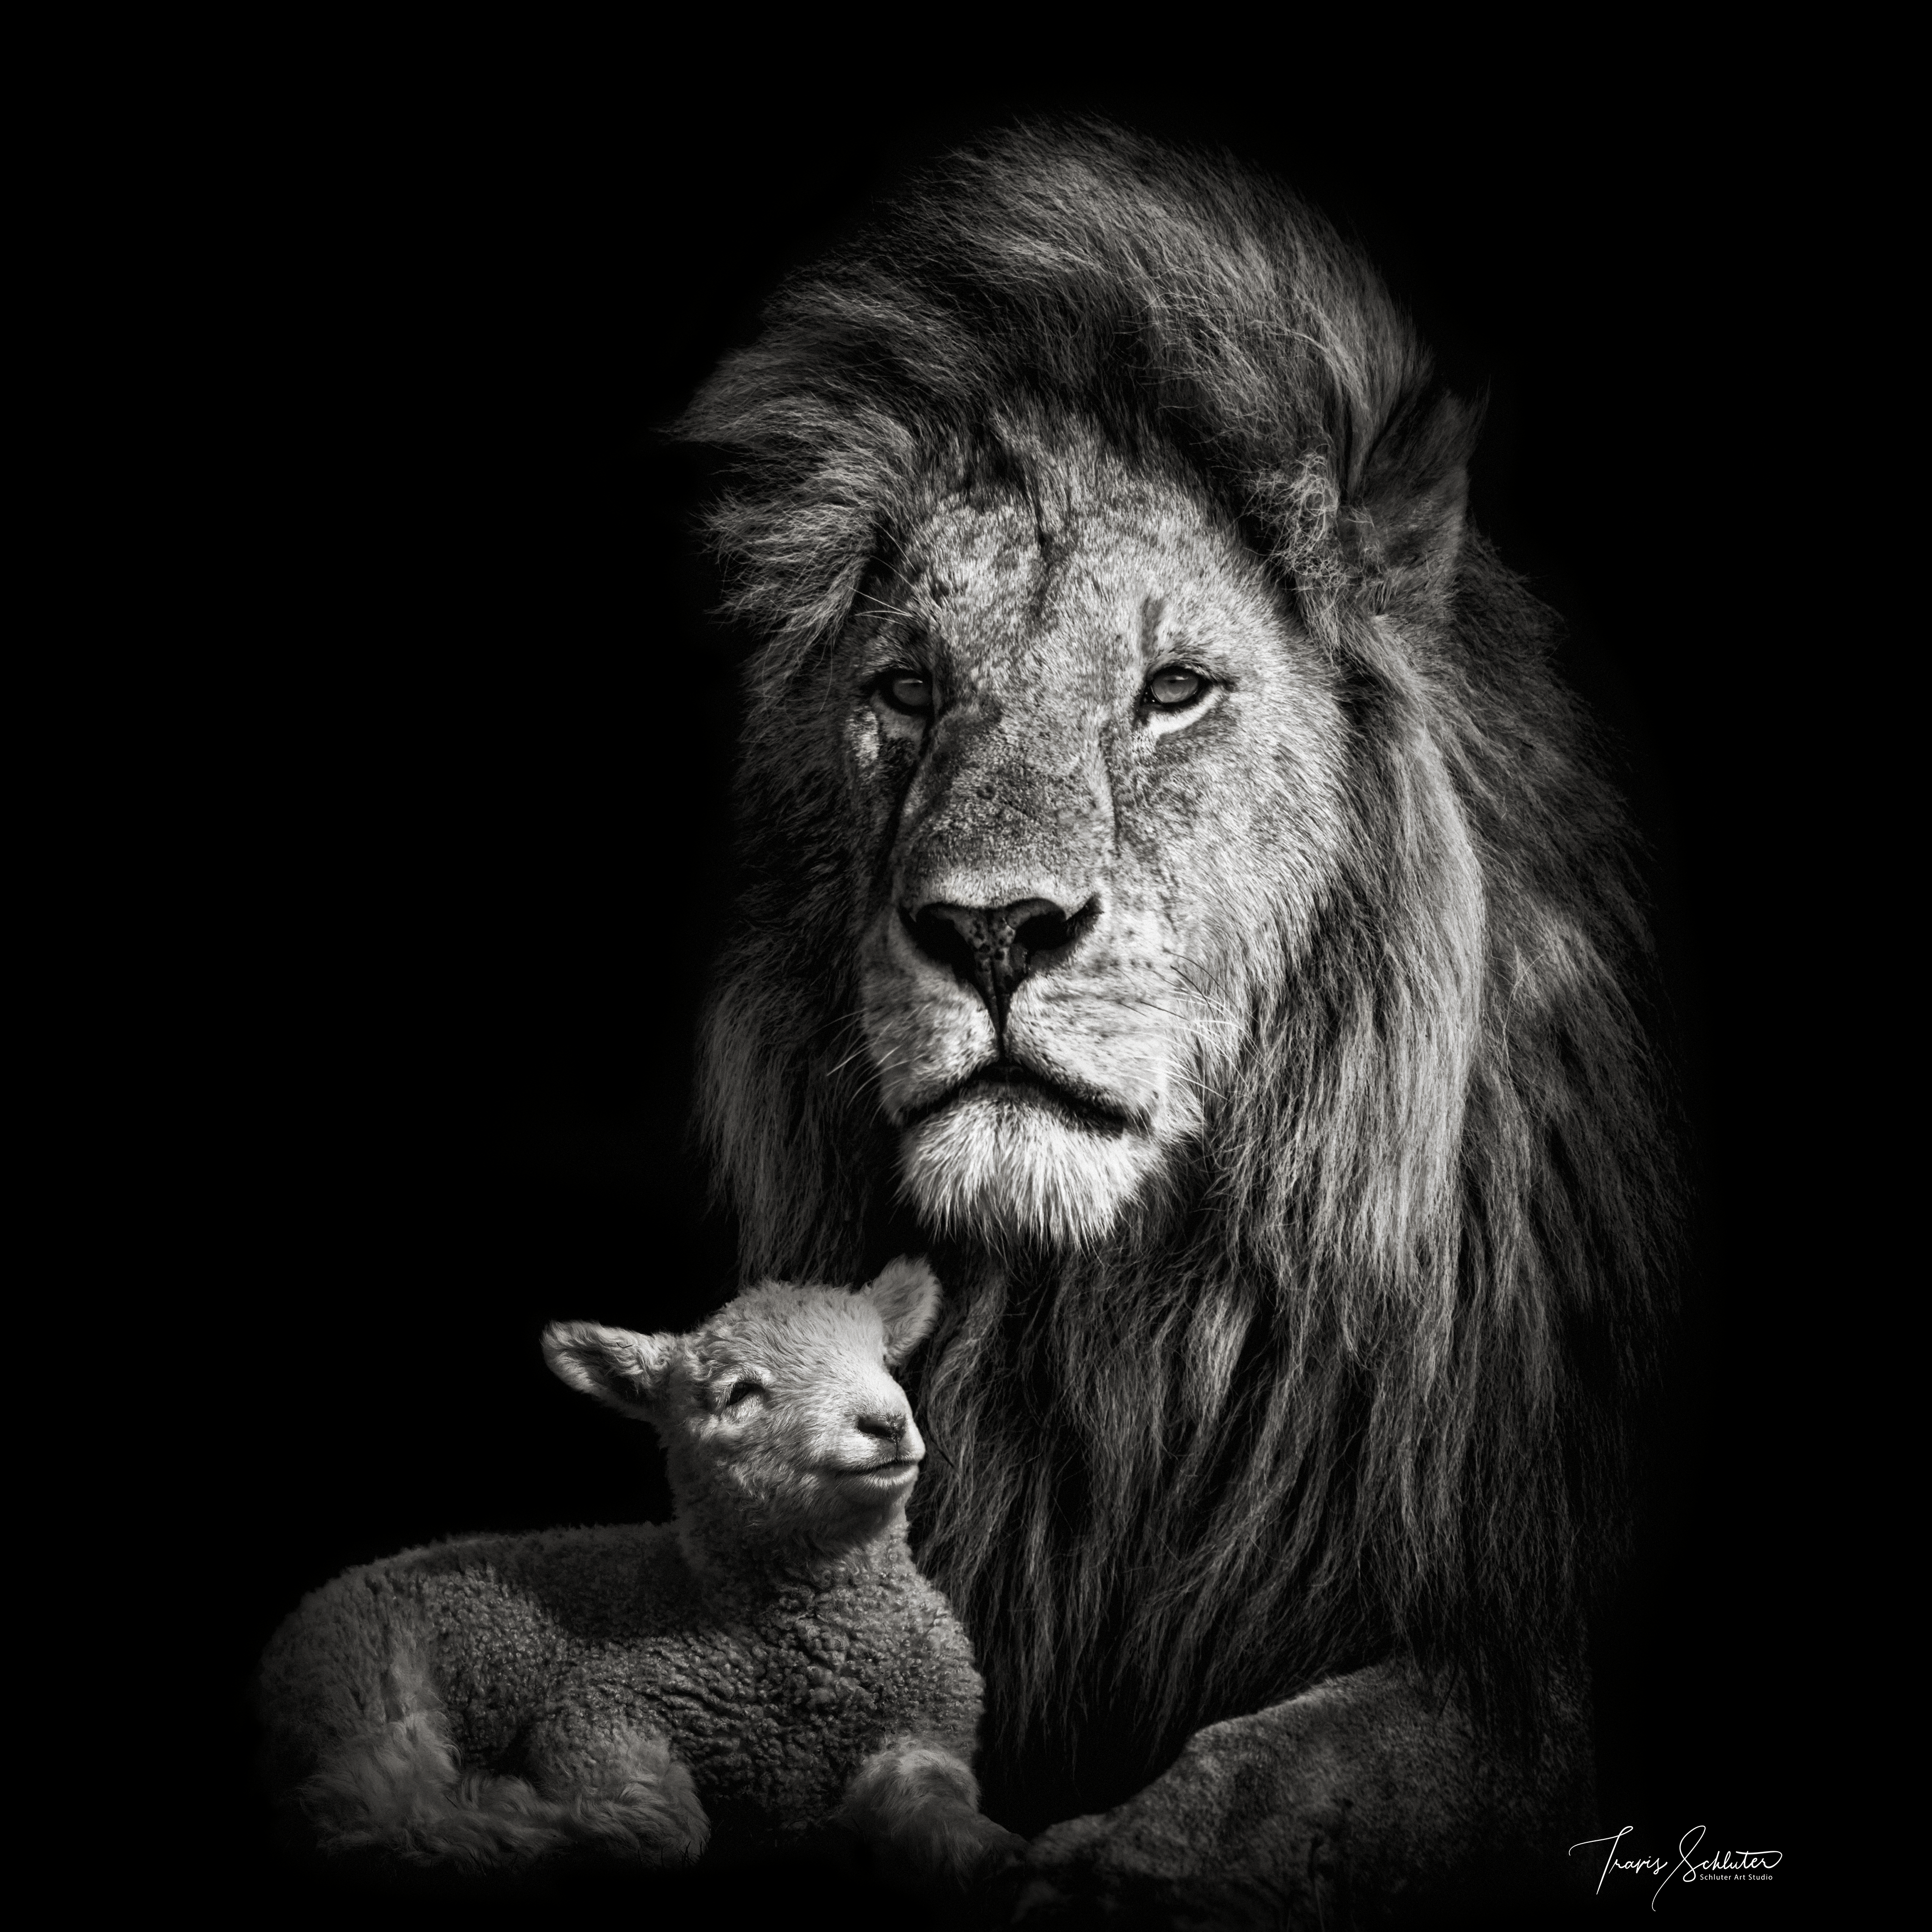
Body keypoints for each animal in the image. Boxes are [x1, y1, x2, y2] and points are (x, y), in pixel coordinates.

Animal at [254, 1258, 1022, 1887]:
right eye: (741, 1391)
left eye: (883, 1359)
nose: (886, 1422)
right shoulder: (597, 1708)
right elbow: (663, 1827)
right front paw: (521, 1814)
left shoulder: (931, 1729)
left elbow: (939, 1807)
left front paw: (1000, 1855)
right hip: (364, 1691)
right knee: (362, 1815)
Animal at [676, 121, 1676, 1922]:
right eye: (908, 689)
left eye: (1172, 691)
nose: (991, 930)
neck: (1118, 1340)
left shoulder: (1518, 1661)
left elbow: (1284, 1780)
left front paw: (1103, 1872)